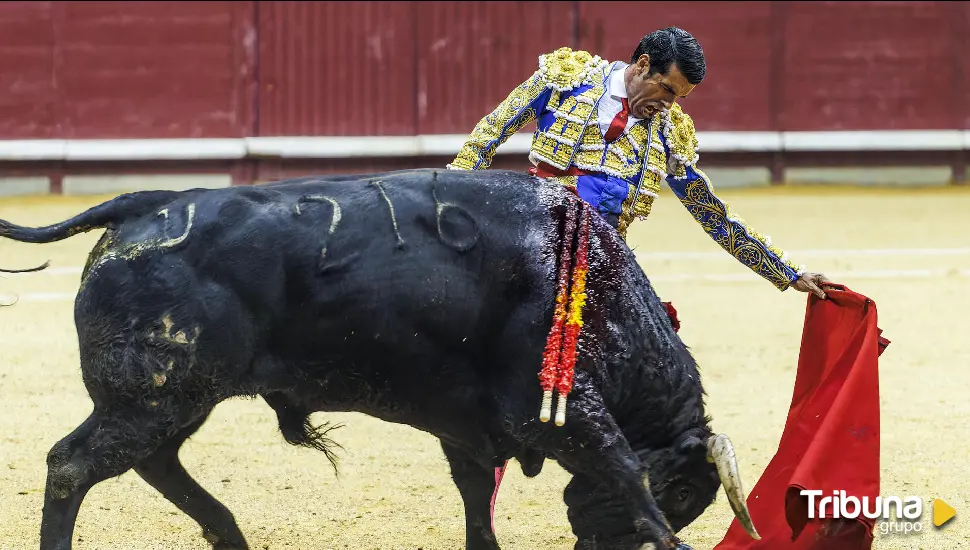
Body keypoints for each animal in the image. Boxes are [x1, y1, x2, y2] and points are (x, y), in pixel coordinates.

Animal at [0, 169, 756, 550]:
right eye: (685, 493)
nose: (602, 547)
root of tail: (147, 206)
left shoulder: (469, 426)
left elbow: (475, 498)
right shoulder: (555, 412)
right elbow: (625, 467)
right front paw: (670, 541)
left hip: (174, 399)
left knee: (154, 462)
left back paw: (230, 535)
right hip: (152, 397)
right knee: (72, 466)